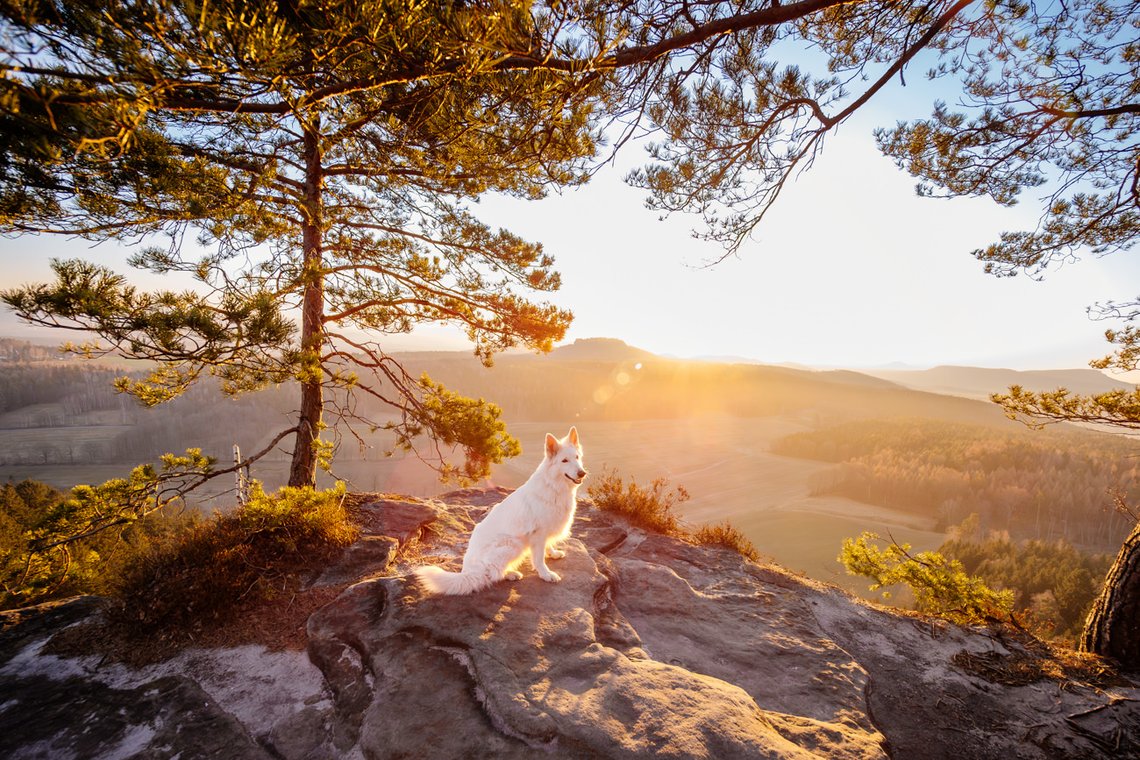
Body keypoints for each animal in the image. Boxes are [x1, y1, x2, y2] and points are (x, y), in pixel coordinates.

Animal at [412, 428, 588, 592]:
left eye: (577, 458)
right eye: (564, 461)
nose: (582, 473)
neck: (553, 486)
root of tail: (468, 572)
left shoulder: (546, 530)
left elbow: (547, 545)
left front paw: (553, 553)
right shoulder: (538, 533)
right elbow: (538, 558)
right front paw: (546, 574)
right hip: (513, 543)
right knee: (492, 573)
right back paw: (510, 574)